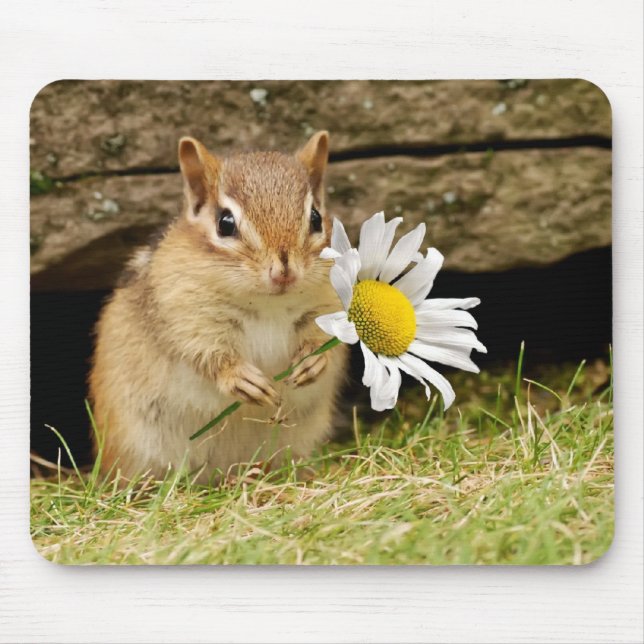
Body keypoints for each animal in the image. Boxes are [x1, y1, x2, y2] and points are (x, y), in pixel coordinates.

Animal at [88, 131, 348, 484]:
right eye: (225, 223)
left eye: (316, 219)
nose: (284, 271)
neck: (269, 304)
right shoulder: (188, 316)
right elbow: (207, 354)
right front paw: (241, 379)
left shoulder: (327, 304)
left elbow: (327, 341)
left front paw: (312, 362)